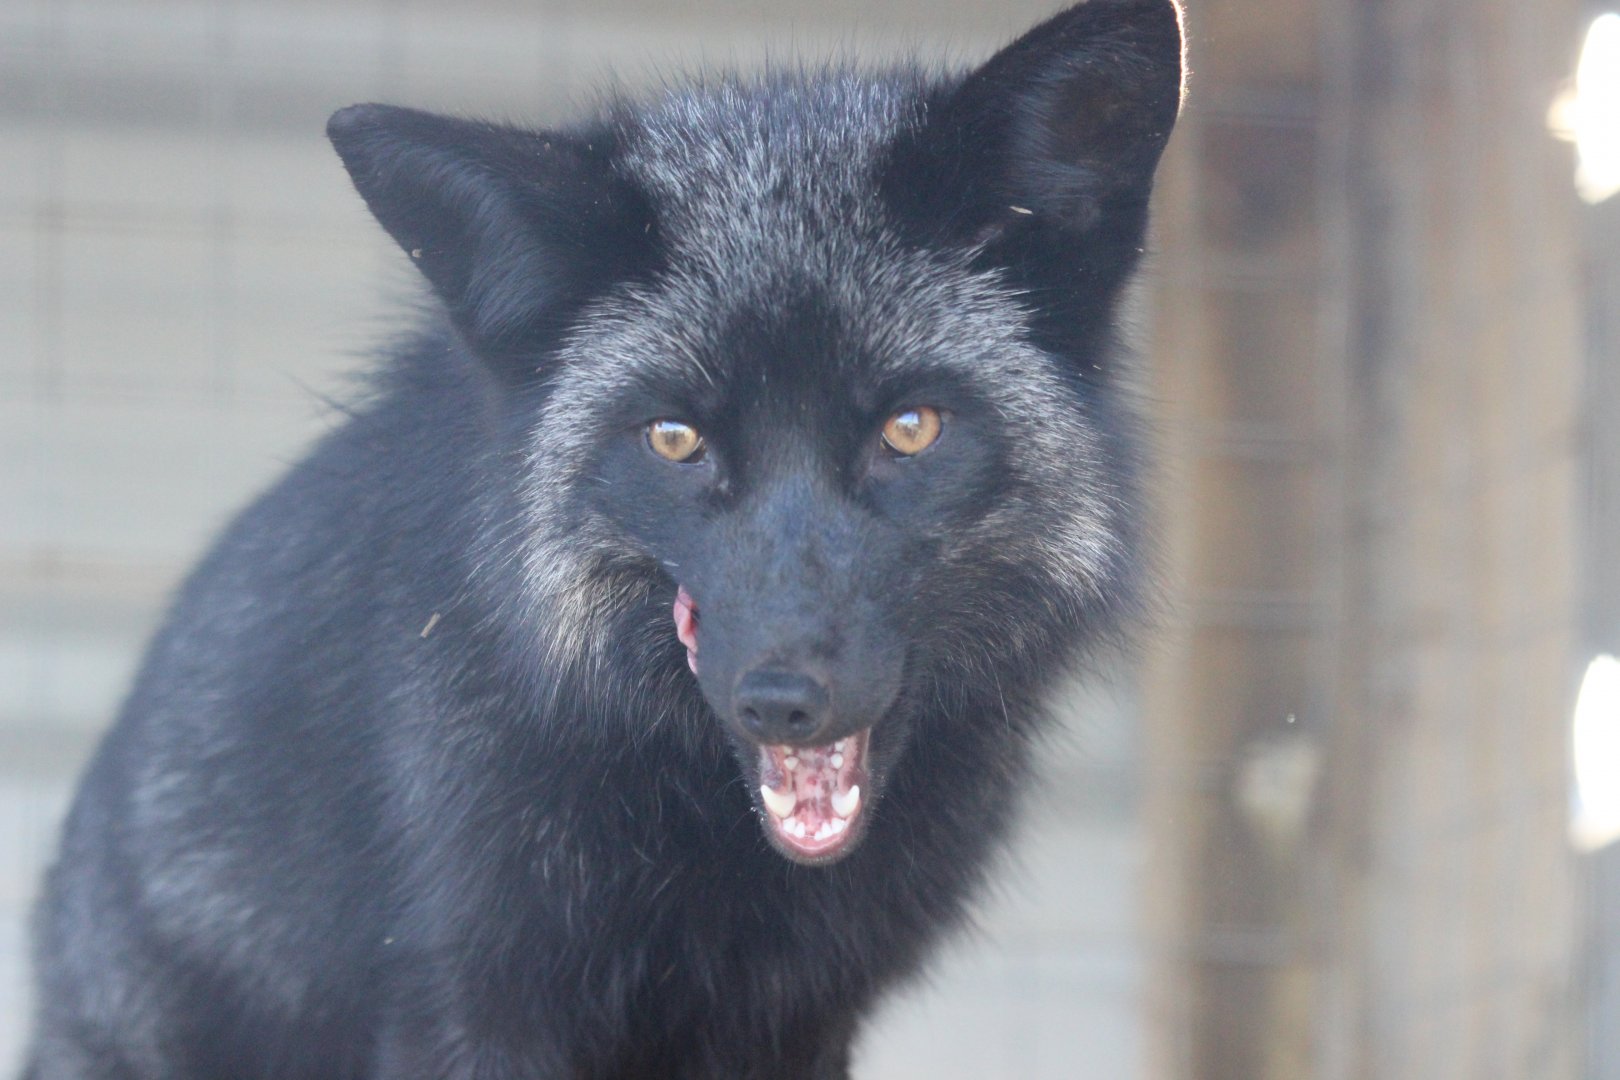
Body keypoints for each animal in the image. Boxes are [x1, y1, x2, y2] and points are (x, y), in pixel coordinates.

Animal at [23, 2, 1184, 1077]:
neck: (708, 853)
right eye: (674, 439)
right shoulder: (473, 992)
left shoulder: (795, 1018)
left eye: (911, 428)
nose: (782, 698)